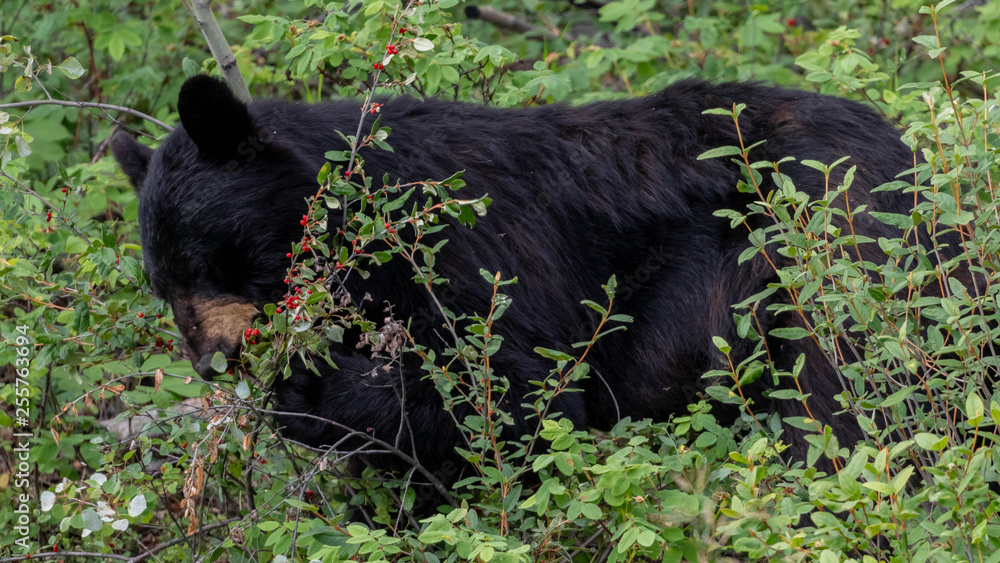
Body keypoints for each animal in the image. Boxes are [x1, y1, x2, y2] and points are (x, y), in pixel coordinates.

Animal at [111, 76, 920, 494]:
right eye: (161, 282)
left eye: (222, 256)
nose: (215, 359)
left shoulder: (473, 254)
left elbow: (515, 392)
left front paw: (310, 393)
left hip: (826, 251)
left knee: (844, 397)